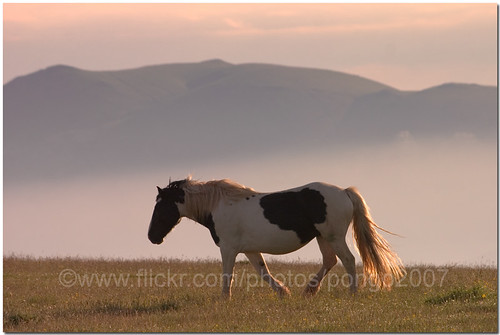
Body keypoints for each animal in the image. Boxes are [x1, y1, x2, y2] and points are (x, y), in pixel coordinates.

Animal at [146, 177, 404, 298]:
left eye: (161, 207)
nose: (151, 237)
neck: (219, 205)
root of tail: (344, 192)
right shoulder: (249, 250)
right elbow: (263, 272)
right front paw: (283, 292)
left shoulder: (228, 249)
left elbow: (227, 275)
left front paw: (224, 299)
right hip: (323, 237)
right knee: (330, 261)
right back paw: (309, 290)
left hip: (334, 236)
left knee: (348, 260)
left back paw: (352, 293)